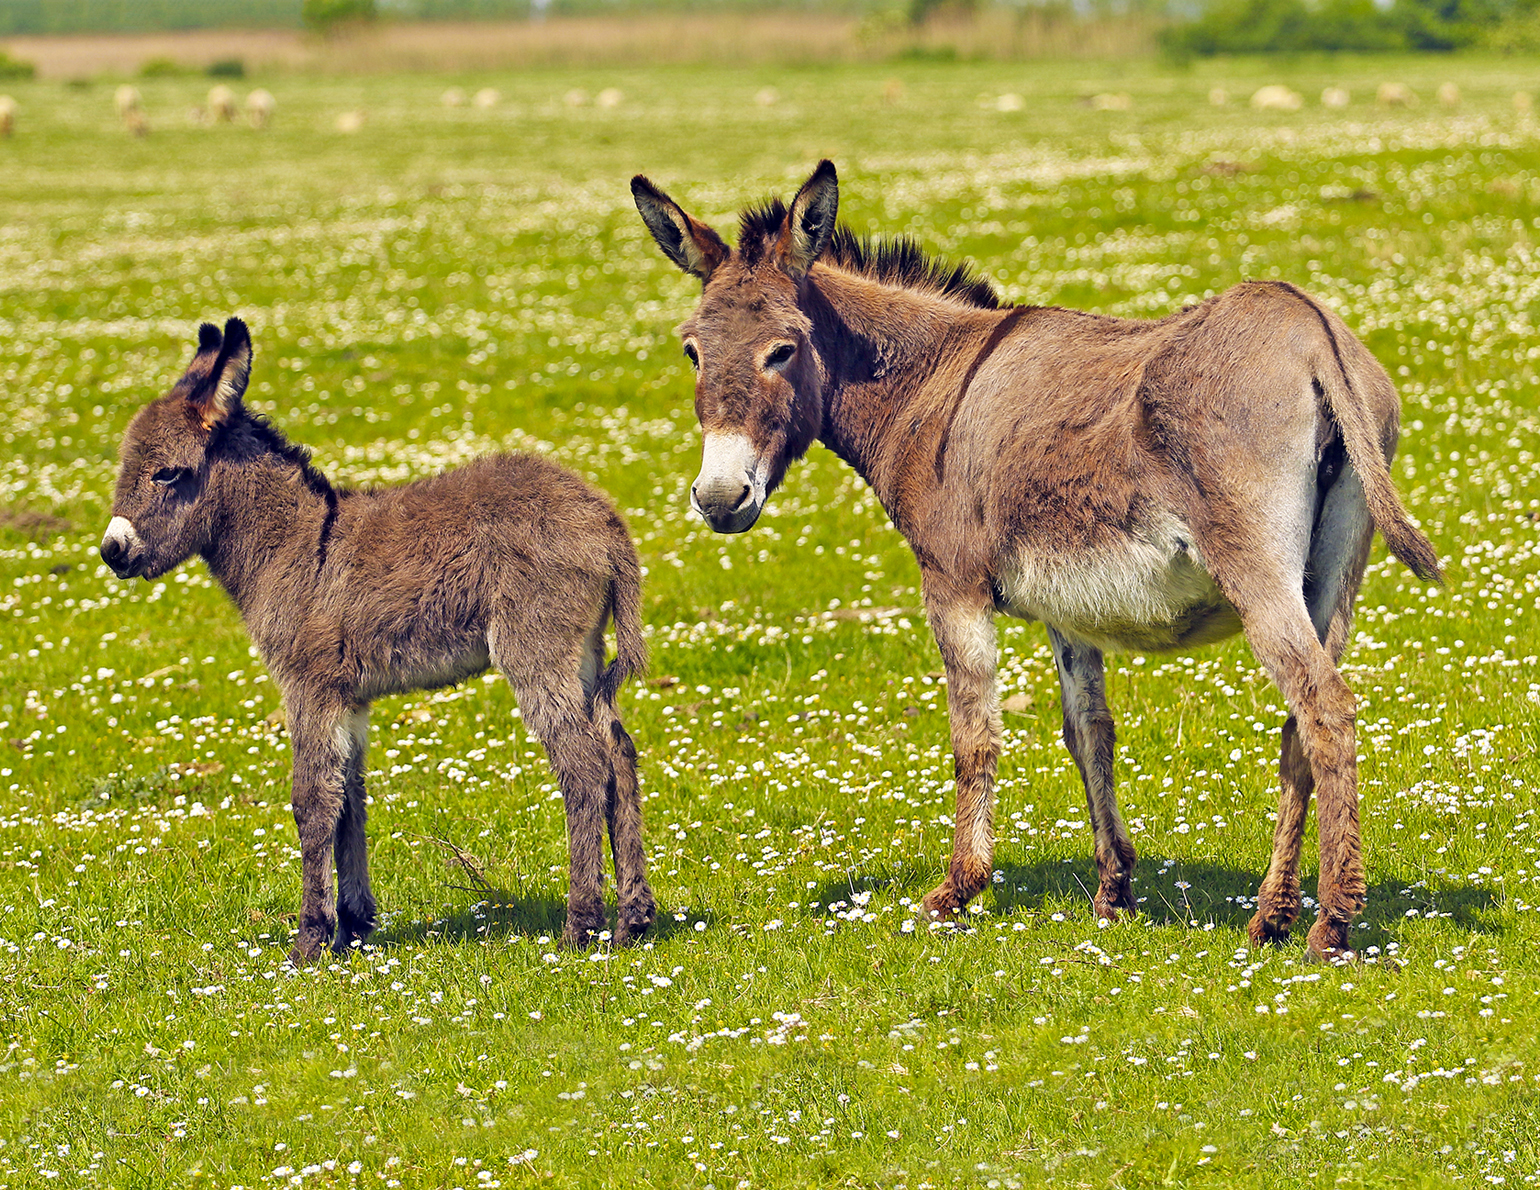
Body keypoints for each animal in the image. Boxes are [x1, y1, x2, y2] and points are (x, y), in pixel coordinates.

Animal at [100, 320, 656, 960]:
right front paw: (353, 926)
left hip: (536, 650)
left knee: (584, 767)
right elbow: (350, 799)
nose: (112, 551)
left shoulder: (308, 688)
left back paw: (580, 925)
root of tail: (607, 524)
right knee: (618, 753)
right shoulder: (349, 698)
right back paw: (633, 919)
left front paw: (311, 940)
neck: (298, 545)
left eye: (167, 472)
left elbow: (312, 801)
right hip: (584, 654)